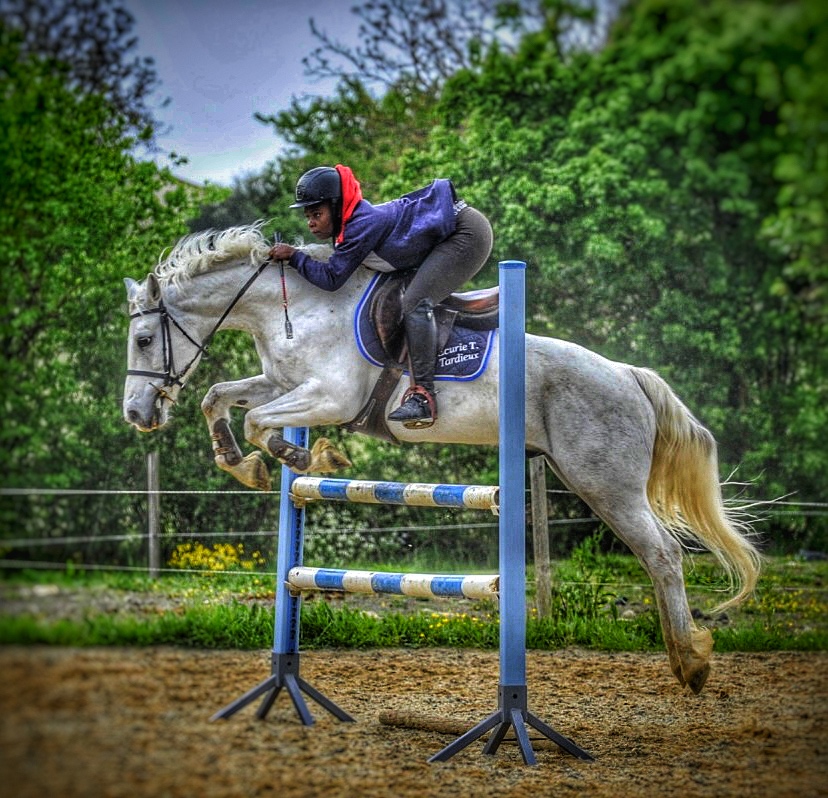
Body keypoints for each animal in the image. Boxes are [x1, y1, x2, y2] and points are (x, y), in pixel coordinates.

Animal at [122, 222, 761, 695]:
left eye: (145, 340)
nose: (136, 412)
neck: (294, 307)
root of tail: (629, 374)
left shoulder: (329, 395)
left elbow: (260, 421)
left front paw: (307, 457)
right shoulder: (284, 385)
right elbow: (218, 397)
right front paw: (244, 462)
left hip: (606, 484)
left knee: (663, 555)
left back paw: (690, 663)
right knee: (660, 556)